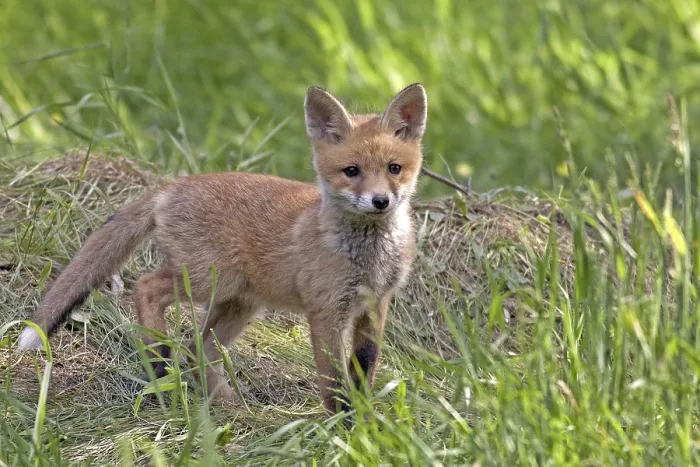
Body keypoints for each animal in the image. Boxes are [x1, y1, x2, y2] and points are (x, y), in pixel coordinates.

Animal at [17, 83, 428, 415]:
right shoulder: (326, 311)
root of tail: (169, 187)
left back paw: (230, 405)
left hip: (238, 305)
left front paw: (366, 417)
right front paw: (342, 426)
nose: (380, 201)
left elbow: (365, 368)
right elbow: (334, 380)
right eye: (351, 171)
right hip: (208, 279)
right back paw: (158, 357)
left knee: (197, 352)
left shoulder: (375, 304)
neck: (368, 257)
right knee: (147, 288)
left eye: (394, 168)